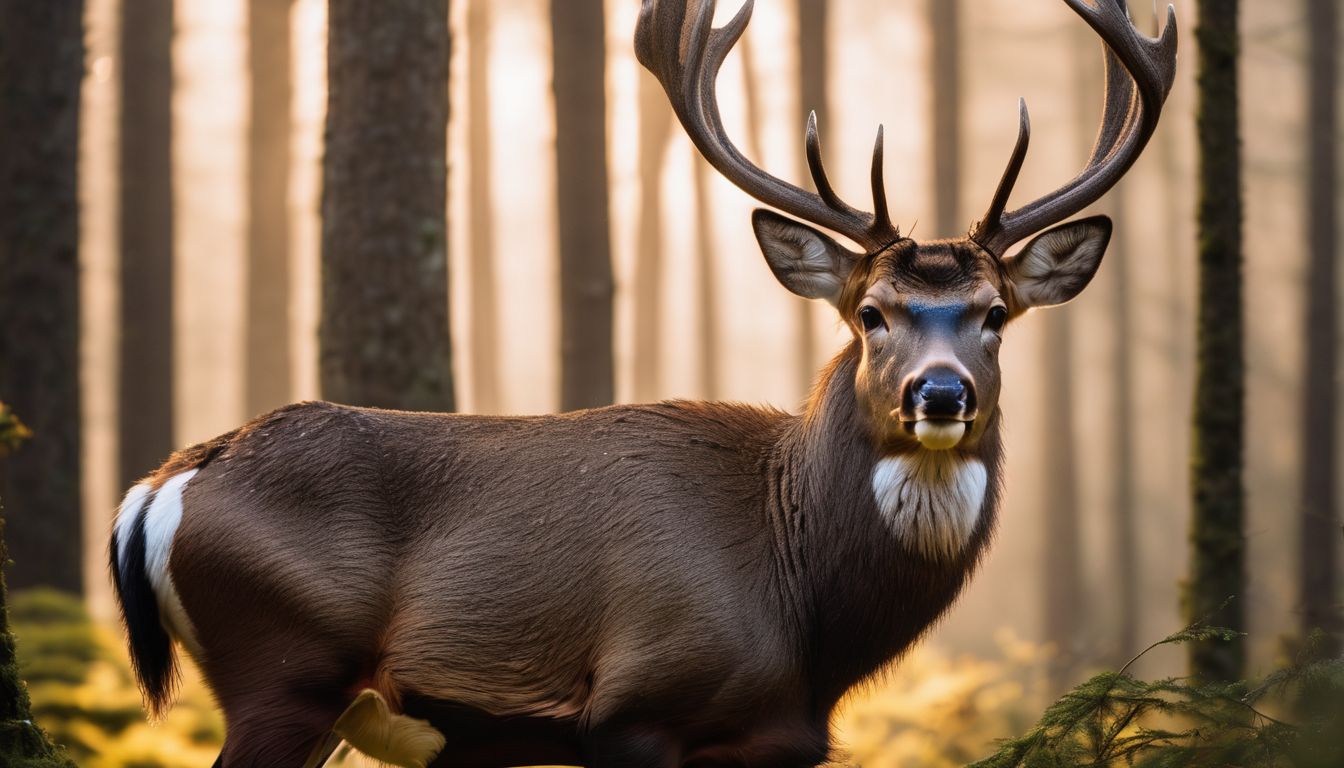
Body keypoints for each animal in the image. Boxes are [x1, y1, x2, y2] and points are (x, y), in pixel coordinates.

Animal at [109, 1, 1176, 765]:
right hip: (284, 665)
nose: (942, 395)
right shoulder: (637, 705)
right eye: (871, 312)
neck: (803, 609)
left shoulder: (779, 744)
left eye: (995, 314)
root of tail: (163, 485)